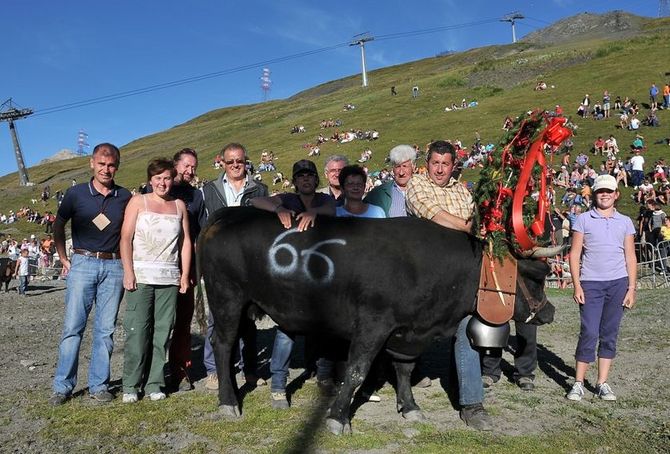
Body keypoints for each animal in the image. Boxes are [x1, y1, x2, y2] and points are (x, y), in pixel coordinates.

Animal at [201, 207, 556, 434]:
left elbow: (404, 370)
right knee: (222, 345)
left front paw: (410, 407)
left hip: (246, 305)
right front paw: (338, 418)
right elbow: (357, 371)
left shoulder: (407, 332)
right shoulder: (372, 324)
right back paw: (228, 403)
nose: (549, 312)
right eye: (537, 277)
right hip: (227, 298)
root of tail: (231, 212)